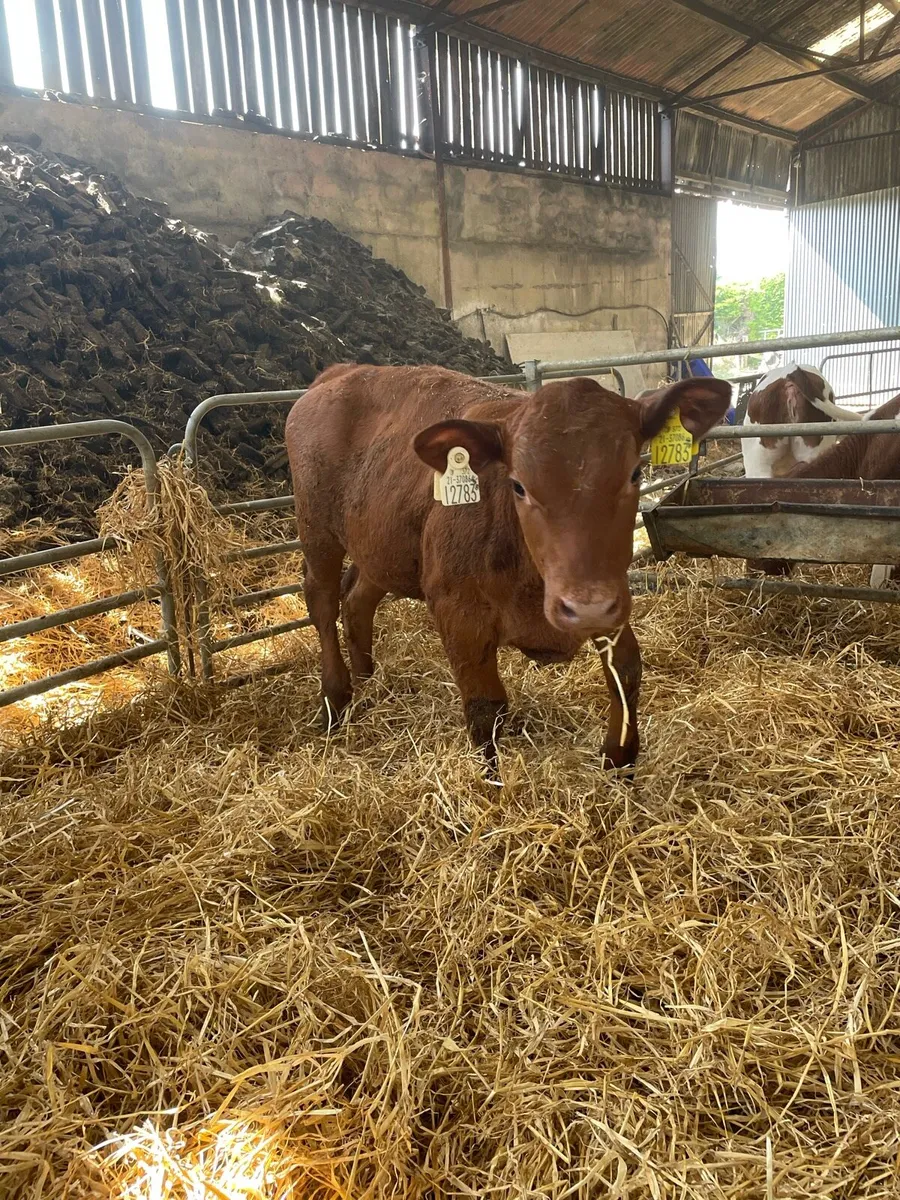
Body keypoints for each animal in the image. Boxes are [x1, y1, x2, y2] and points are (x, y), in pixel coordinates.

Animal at [286, 364, 731, 774]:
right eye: (518, 485)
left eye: (635, 472)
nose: (585, 607)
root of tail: (341, 372)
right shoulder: (458, 612)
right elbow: (486, 709)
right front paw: (491, 786)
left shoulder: (606, 595)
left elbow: (627, 671)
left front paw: (619, 757)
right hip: (317, 532)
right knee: (321, 600)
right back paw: (335, 698)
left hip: (380, 548)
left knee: (357, 599)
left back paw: (367, 678)